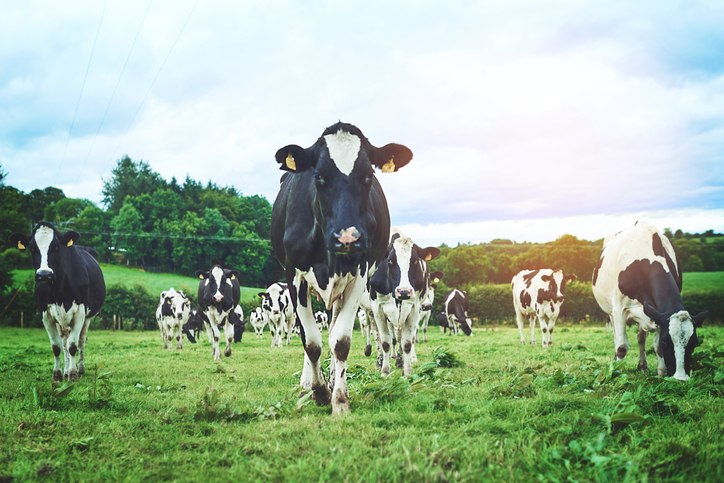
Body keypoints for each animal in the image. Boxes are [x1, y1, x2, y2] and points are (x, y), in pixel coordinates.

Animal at [9, 222, 106, 384]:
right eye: (32, 248)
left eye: (56, 247)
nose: (44, 274)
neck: (58, 290)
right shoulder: (45, 313)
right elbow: (57, 347)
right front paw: (58, 375)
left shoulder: (80, 312)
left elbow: (73, 345)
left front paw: (73, 375)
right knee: (64, 341)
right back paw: (66, 370)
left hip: (88, 317)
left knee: (80, 341)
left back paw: (79, 368)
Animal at [270, 121, 412, 414]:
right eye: (318, 176)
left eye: (369, 175)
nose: (348, 238)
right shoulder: (295, 276)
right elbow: (311, 342)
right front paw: (319, 390)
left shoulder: (359, 274)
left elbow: (340, 341)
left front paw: (339, 398)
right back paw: (308, 382)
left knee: (334, 327)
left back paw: (334, 376)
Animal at [369, 228, 440, 376]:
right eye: (390, 261)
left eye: (415, 261)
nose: (404, 291)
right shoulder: (377, 308)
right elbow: (385, 342)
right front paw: (385, 371)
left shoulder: (414, 308)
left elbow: (407, 342)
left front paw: (407, 372)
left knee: (401, 337)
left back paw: (401, 362)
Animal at [592, 220, 707, 381]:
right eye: (666, 341)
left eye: (694, 342)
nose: (680, 378)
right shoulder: (619, 309)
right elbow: (621, 347)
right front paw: (617, 373)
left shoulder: (658, 313)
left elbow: (656, 347)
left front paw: (661, 373)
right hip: (610, 312)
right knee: (616, 337)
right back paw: (615, 363)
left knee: (641, 338)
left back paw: (643, 367)